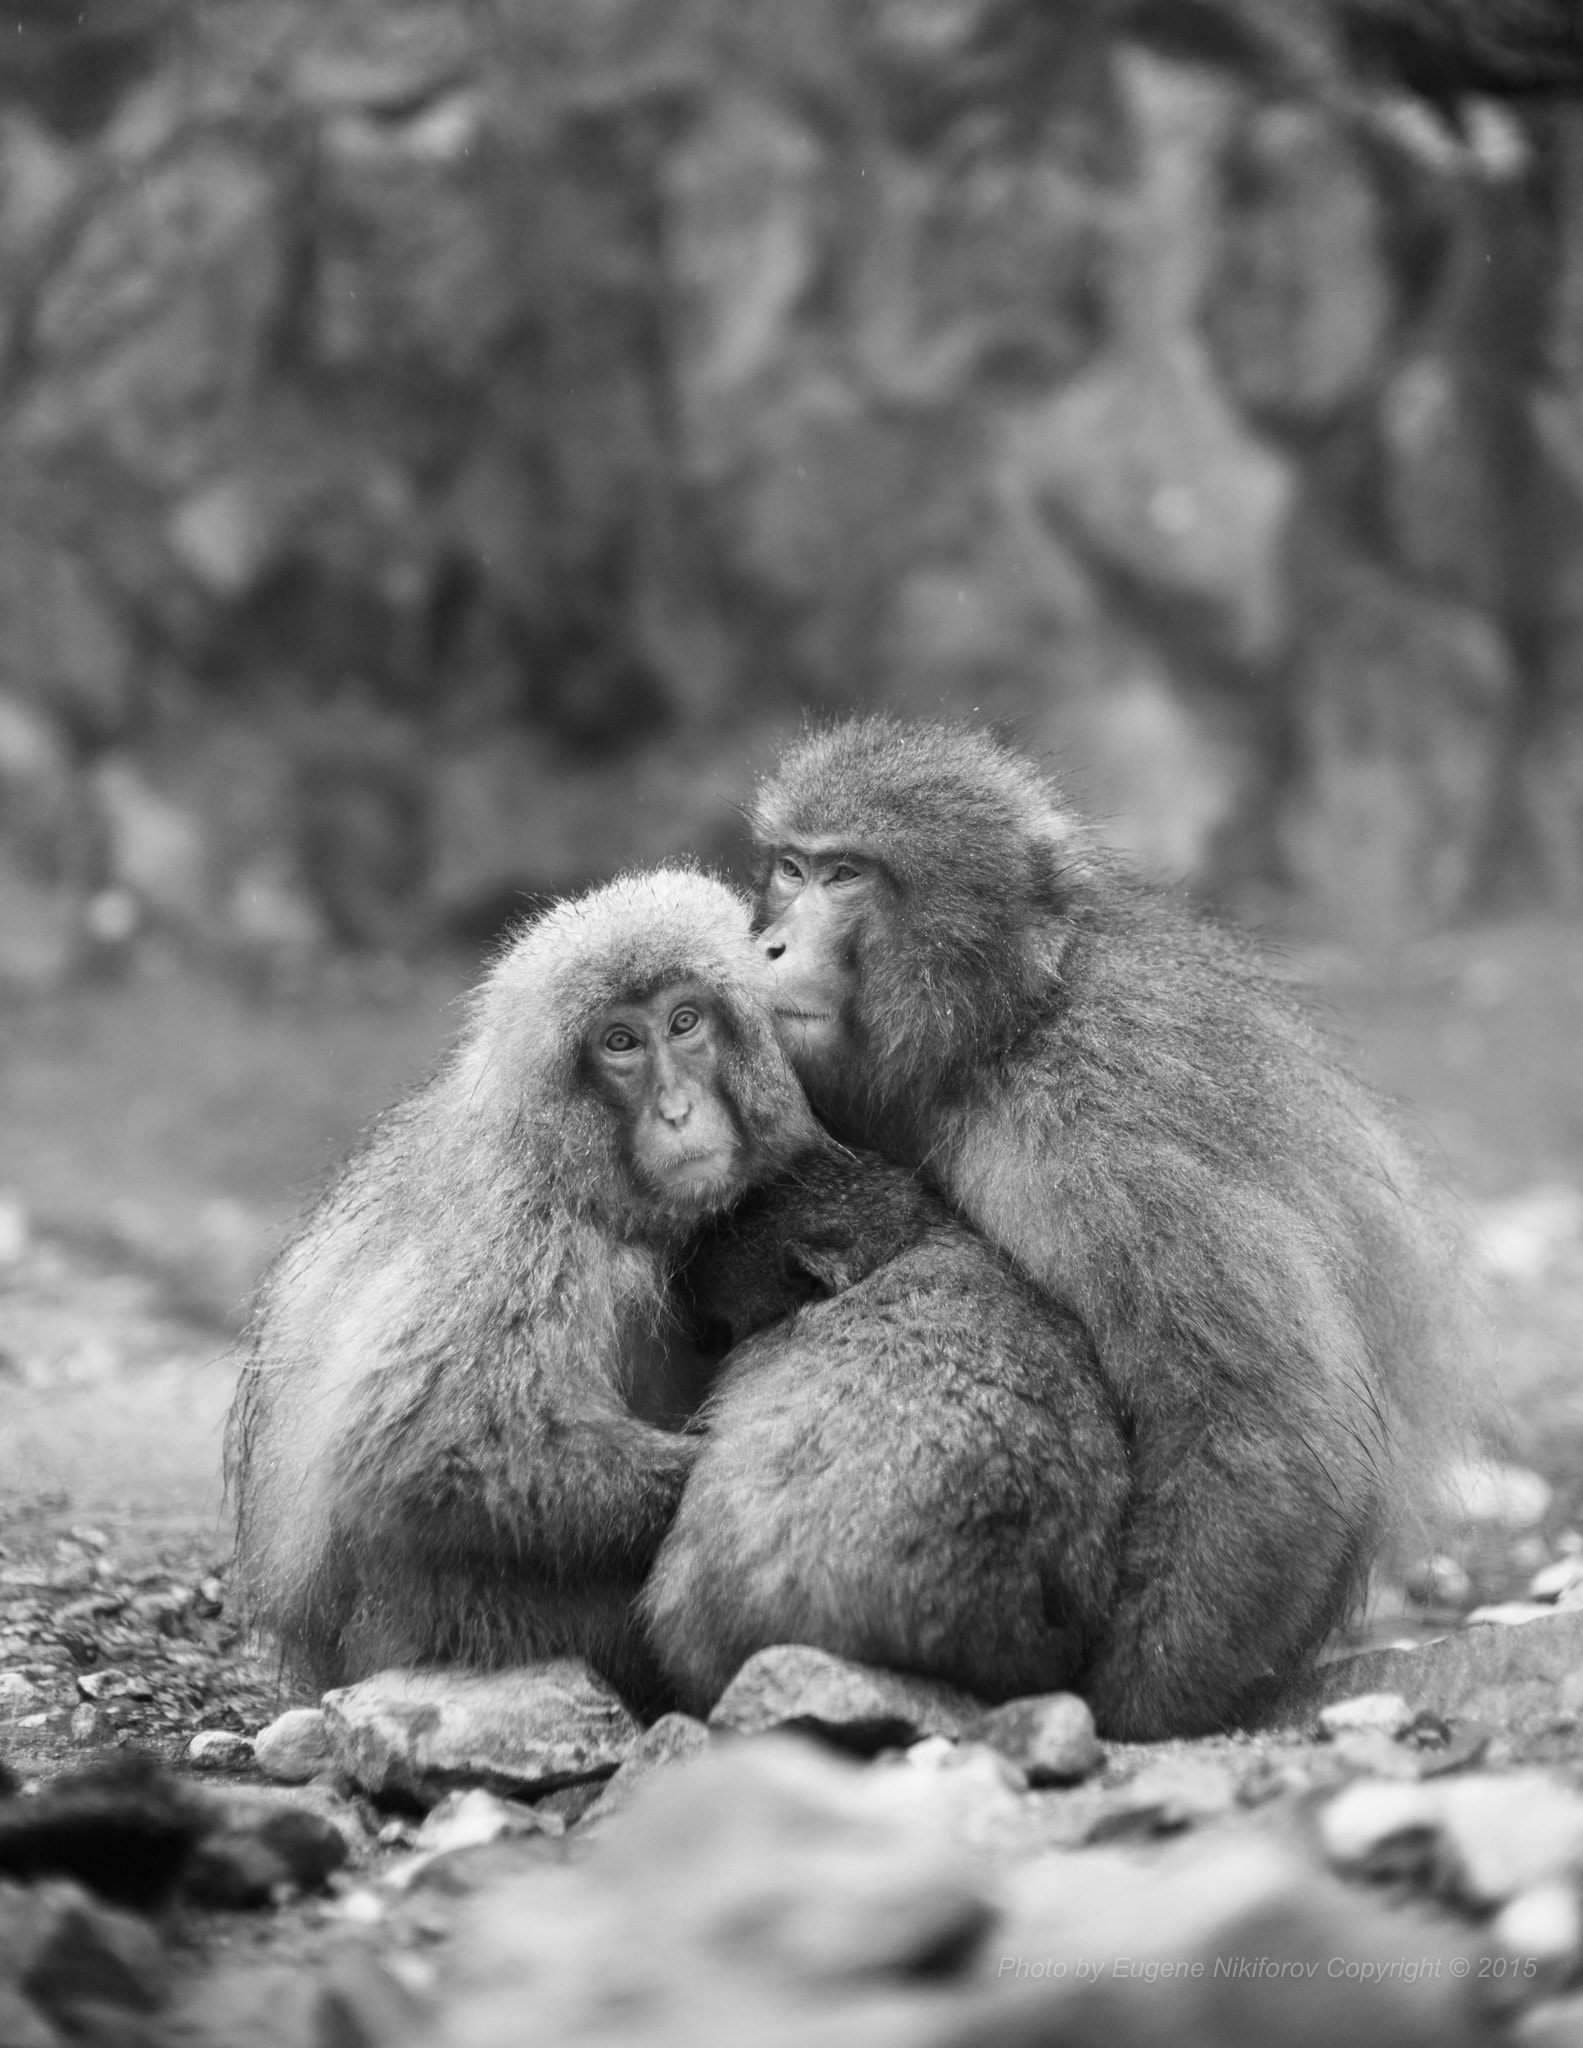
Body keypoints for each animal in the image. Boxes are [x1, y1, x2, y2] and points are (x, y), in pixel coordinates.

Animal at [228, 868, 823, 1712]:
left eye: (684, 1023)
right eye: (619, 1043)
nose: (677, 1109)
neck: (591, 1178)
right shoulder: (527, 1236)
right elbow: (432, 1450)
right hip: (459, 1621)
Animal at [745, 720, 1474, 1744]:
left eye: (844, 875)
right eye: (790, 867)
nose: (768, 942)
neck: (1002, 1027)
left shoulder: (1089, 1140)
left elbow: (1268, 1420)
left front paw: (1124, 1704)